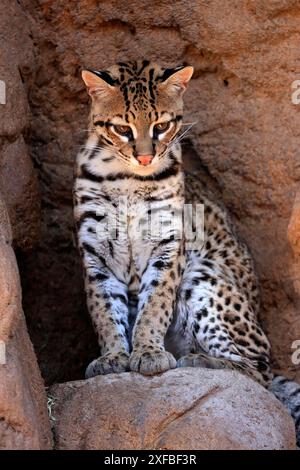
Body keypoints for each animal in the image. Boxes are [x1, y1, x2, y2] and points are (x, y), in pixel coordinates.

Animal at [73, 59, 300, 444]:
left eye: (162, 126)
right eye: (122, 129)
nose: (145, 157)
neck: (125, 177)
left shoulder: (168, 246)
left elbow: (155, 305)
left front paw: (148, 351)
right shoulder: (96, 251)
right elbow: (104, 309)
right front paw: (114, 355)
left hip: (202, 273)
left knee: (259, 373)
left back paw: (202, 361)